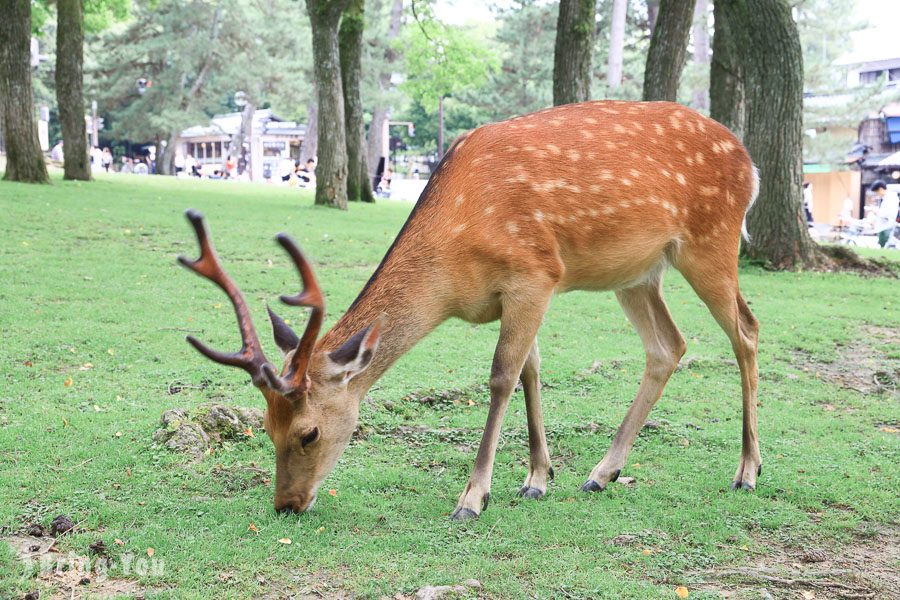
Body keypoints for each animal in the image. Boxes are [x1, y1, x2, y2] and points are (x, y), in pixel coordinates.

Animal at [179, 99, 764, 520]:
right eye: (265, 427)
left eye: (308, 433)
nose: (286, 505)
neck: (455, 271)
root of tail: (751, 162)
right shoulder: (518, 293)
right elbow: (531, 371)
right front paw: (536, 480)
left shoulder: (535, 273)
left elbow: (503, 376)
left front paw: (473, 497)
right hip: (637, 273)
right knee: (669, 346)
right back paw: (603, 472)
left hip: (710, 242)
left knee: (747, 330)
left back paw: (747, 470)